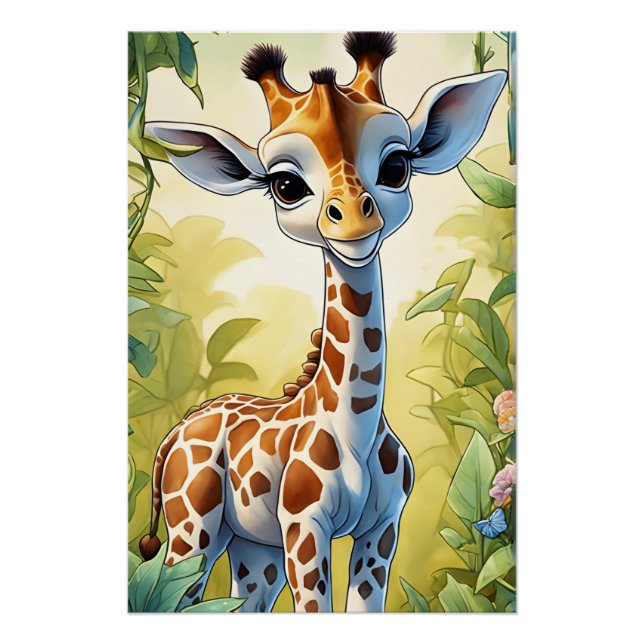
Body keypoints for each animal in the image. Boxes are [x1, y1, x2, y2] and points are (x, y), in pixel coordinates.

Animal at [138, 32, 507, 612]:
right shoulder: (304, 528)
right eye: (285, 184)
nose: (354, 220)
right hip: (193, 530)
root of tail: (176, 431)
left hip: (251, 548)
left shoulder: (381, 530)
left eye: (397, 166)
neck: (354, 426)